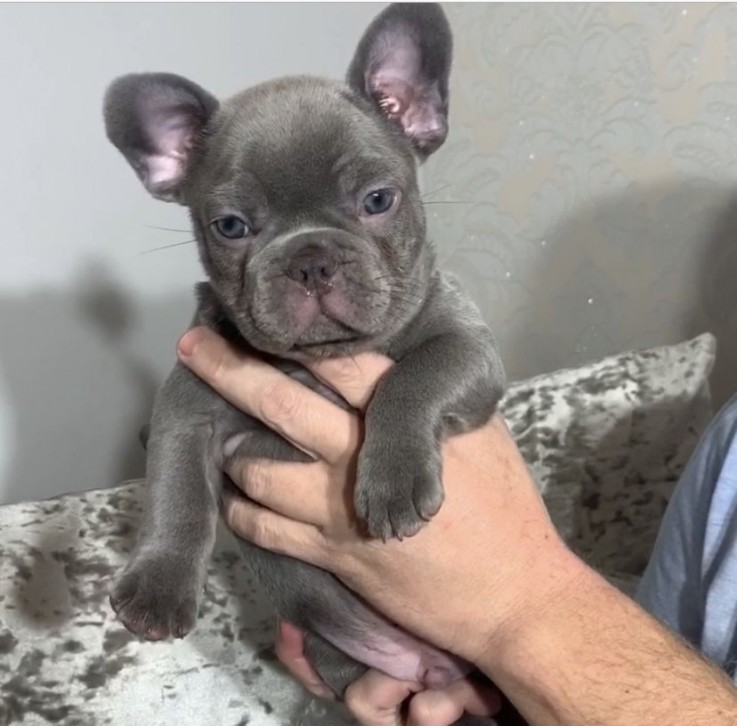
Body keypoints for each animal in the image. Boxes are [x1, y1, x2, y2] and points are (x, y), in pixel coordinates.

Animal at [105, 2, 506, 704]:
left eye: (378, 200)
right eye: (231, 226)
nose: (310, 259)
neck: (314, 365)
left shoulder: (469, 345)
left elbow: (416, 376)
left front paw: (393, 480)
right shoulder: (185, 405)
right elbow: (176, 490)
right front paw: (158, 585)